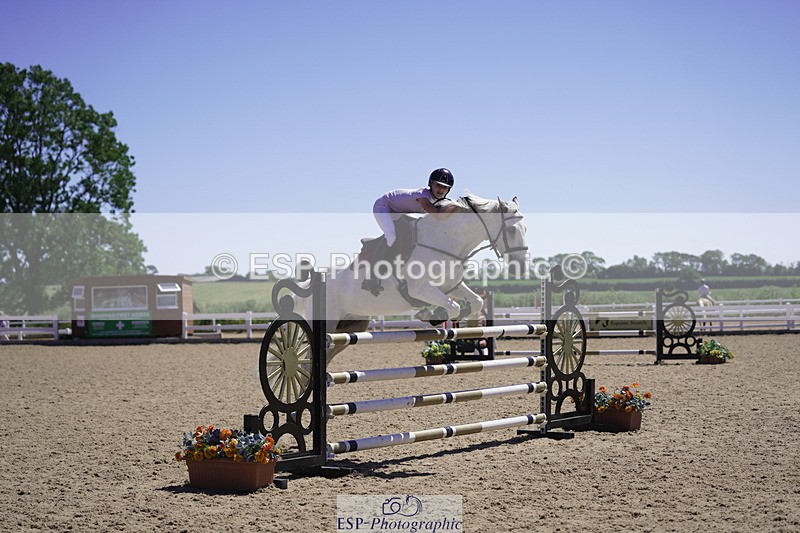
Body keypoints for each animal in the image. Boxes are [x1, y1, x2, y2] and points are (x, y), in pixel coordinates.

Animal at [295, 193, 529, 362]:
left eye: (525, 228)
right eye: (510, 230)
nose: (519, 267)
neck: (444, 240)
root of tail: (309, 284)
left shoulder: (452, 286)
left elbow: (476, 302)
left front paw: (437, 314)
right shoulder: (420, 289)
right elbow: (452, 307)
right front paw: (431, 315)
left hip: (351, 327)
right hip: (327, 322)